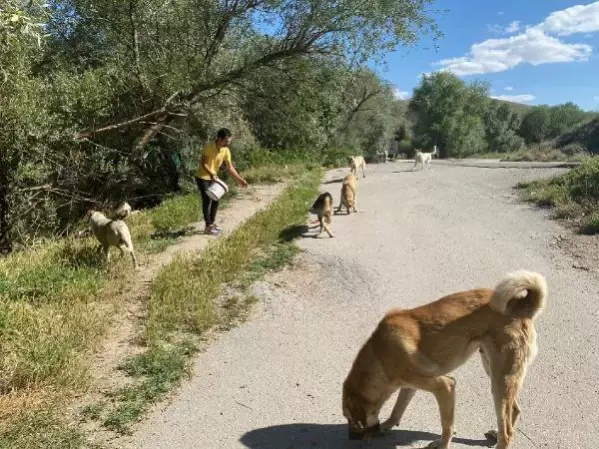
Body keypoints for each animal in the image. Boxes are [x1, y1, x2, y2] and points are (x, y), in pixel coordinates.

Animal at [342, 270, 548, 448]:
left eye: (350, 419)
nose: (352, 439)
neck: (379, 355)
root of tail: (522, 307)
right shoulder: (410, 386)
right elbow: (397, 409)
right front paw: (387, 425)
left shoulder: (445, 387)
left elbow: (446, 424)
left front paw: (442, 444)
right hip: (494, 371)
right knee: (514, 411)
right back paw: (495, 434)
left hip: (500, 380)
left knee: (508, 433)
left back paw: (500, 437)